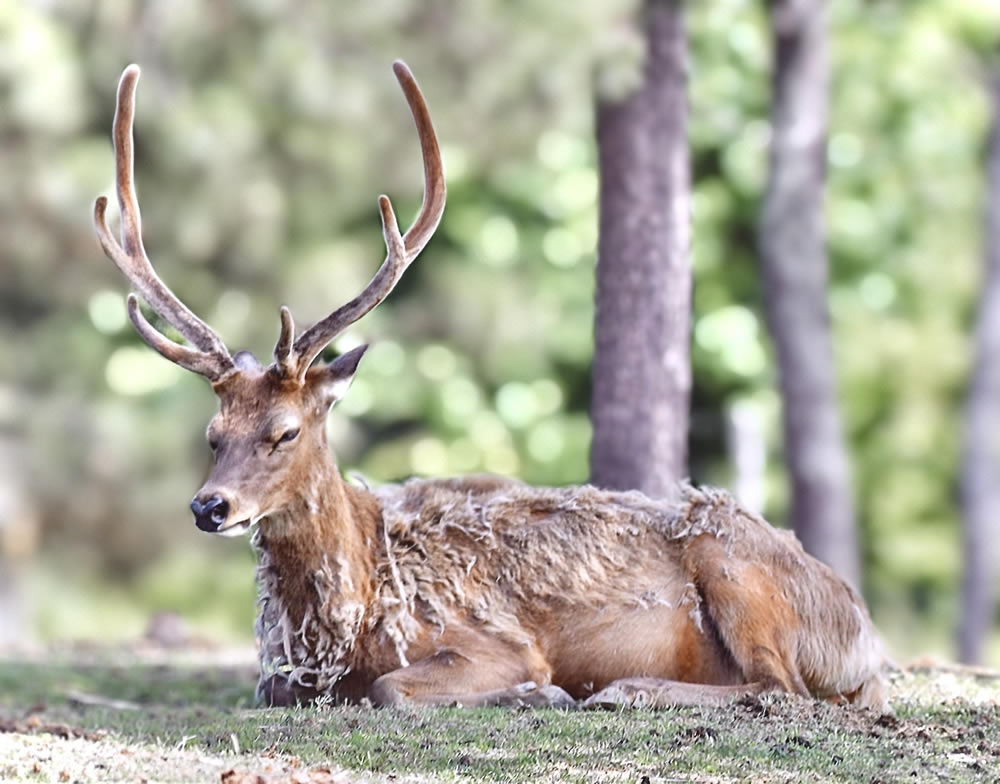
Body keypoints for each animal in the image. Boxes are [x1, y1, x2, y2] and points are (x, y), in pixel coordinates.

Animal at [95, 61, 892, 712]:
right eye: (213, 434)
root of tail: (864, 636)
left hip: (738, 567)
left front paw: (537, 694)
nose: (209, 506)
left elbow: (392, 688)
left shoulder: (495, 640)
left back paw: (620, 691)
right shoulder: (283, 677)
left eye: (284, 431)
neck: (354, 612)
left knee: (783, 690)